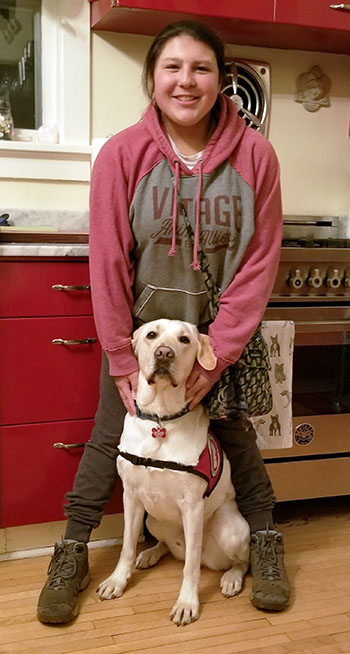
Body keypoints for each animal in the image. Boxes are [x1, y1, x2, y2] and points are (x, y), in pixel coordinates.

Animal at [97, 320, 250, 628]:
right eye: (151, 335)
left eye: (184, 340)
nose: (164, 353)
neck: (160, 419)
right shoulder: (131, 497)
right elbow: (126, 546)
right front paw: (118, 580)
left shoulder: (192, 506)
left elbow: (190, 567)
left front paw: (187, 603)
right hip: (153, 519)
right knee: (167, 545)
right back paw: (151, 553)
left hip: (232, 530)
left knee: (237, 561)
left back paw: (231, 578)